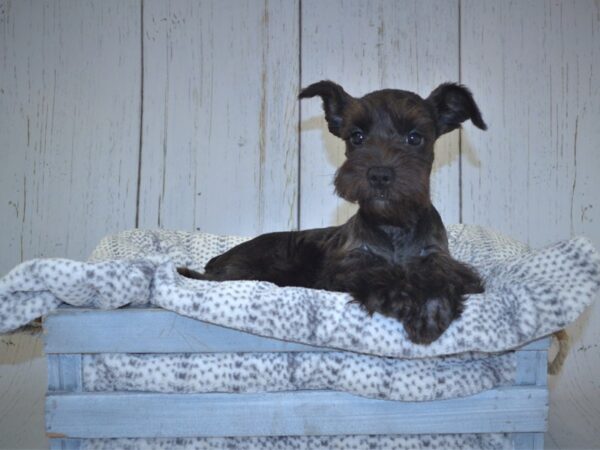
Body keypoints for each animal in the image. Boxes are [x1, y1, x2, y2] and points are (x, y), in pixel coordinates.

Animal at [178, 81, 488, 342]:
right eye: (357, 137)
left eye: (415, 137)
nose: (379, 175)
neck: (393, 225)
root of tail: (219, 259)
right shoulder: (348, 265)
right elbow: (378, 274)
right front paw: (406, 298)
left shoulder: (439, 258)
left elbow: (440, 274)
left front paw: (431, 308)